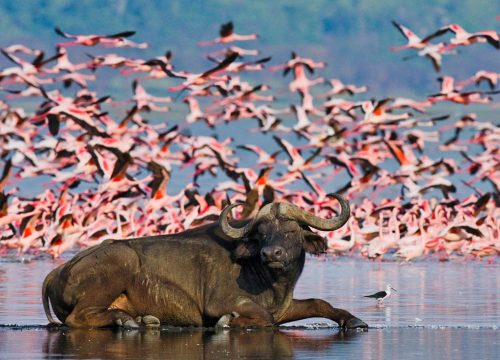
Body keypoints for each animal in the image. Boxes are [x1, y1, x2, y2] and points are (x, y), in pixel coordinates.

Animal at [43, 194, 368, 330]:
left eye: (291, 231)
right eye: (262, 233)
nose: (271, 254)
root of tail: (58, 271)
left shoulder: (284, 307)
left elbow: (319, 303)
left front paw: (354, 320)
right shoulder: (221, 303)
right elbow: (262, 318)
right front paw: (229, 322)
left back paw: (143, 320)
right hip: (117, 265)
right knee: (77, 319)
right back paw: (127, 322)